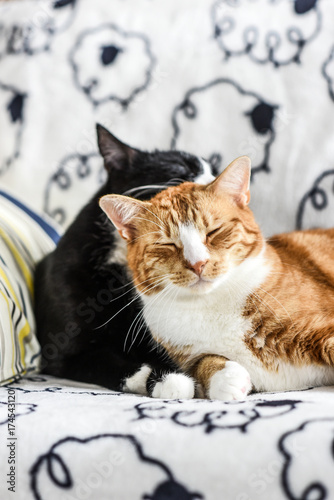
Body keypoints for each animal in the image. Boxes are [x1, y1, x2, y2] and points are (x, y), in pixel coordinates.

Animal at [100, 158, 334, 400]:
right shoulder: (189, 356)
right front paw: (226, 377)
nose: (198, 263)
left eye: (214, 231)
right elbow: (203, 362)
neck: (211, 303)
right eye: (167, 244)